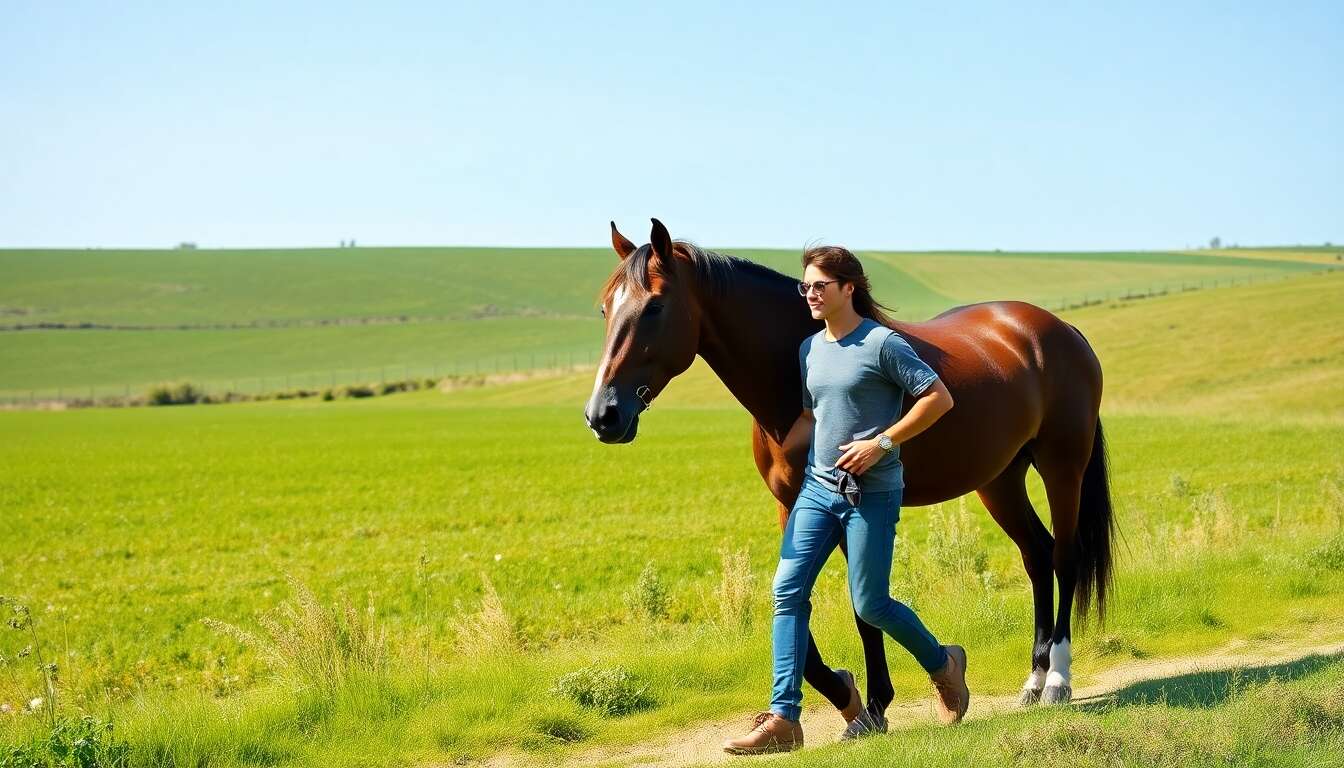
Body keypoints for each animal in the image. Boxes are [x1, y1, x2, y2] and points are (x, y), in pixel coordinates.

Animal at [584, 218, 1115, 709]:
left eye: (655, 306)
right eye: (606, 308)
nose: (602, 415)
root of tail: (1060, 330)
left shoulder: (850, 507)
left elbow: (862, 608)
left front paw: (876, 701)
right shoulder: (794, 506)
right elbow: (797, 599)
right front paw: (845, 691)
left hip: (1062, 466)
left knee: (1064, 557)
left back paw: (1058, 680)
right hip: (999, 480)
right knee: (1037, 554)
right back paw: (1034, 679)